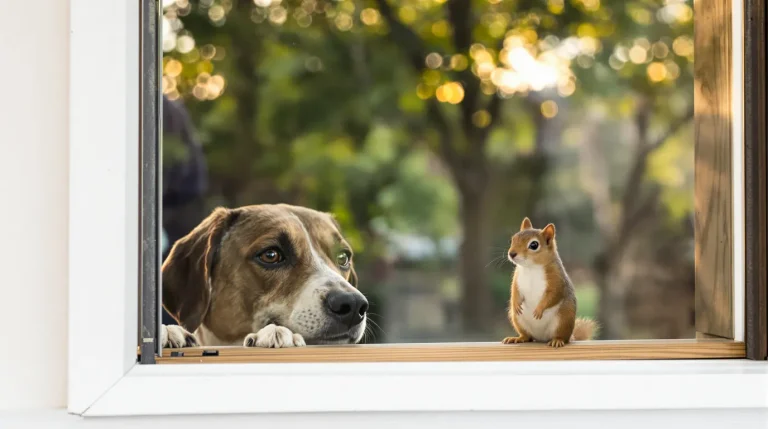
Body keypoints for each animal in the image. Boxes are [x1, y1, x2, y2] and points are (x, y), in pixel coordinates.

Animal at [501, 217, 597, 348]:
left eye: (534, 245)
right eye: (513, 239)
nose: (511, 254)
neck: (531, 268)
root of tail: (541, 337)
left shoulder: (557, 279)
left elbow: (553, 295)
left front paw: (539, 309)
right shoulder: (517, 279)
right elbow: (514, 291)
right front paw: (515, 304)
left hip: (563, 319)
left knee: (562, 336)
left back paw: (557, 340)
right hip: (517, 319)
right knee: (527, 336)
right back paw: (517, 338)